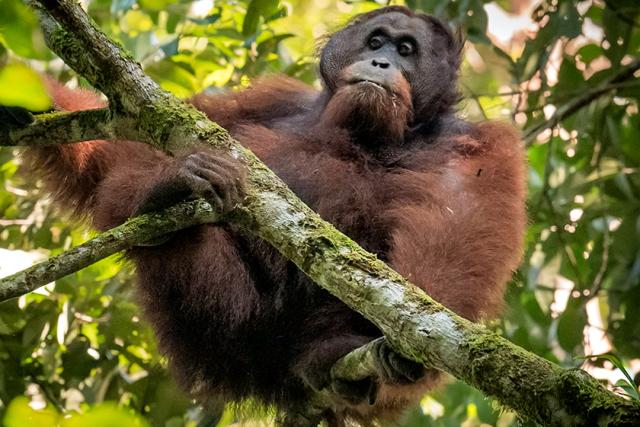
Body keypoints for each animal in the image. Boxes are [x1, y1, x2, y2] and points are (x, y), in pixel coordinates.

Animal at [9, 5, 526, 426]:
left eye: (406, 50)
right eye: (376, 41)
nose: (382, 63)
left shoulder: (471, 142)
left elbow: (462, 214)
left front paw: (401, 344)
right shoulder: (270, 98)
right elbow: (131, 144)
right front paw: (25, 101)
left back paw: (330, 356)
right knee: (188, 235)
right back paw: (165, 197)